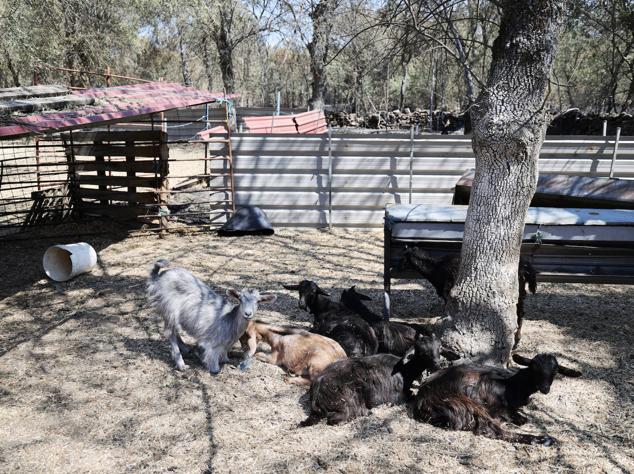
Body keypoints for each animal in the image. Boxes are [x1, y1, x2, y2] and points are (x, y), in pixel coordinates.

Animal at [149, 260, 278, 374]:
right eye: (240, 299)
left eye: (258, 301)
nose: (248, 313)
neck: (229, 319)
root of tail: (158, 277)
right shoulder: (213, 342)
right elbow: (213, 362)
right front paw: (211, 365)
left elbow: (225, 357)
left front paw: (224, 359)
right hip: (169, 308)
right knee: (170, 332)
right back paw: (181, 364)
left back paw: (186, 349)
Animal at [300, 334, 440, 426]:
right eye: (422, 352)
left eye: (439, 347)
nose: (437, 363)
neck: (404, 369)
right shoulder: (398, 396)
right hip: (348, 403)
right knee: (336, 418)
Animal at [404, 248, 532, 348]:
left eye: (404, 255)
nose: (399, 266)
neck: (435, 268)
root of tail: (525, 266)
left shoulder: (448, 291)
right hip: (520, 294)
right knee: (521, 313)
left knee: (519, 314)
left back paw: (516, 340)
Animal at [408, 354, 580, 446]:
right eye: (534, 369)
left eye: (555, 371)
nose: (545, 388)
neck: (514, 382)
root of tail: (422, 400)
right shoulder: (494, 405)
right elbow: (520, 418)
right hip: (465, 404)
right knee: (491, 429)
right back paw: (544, 439)